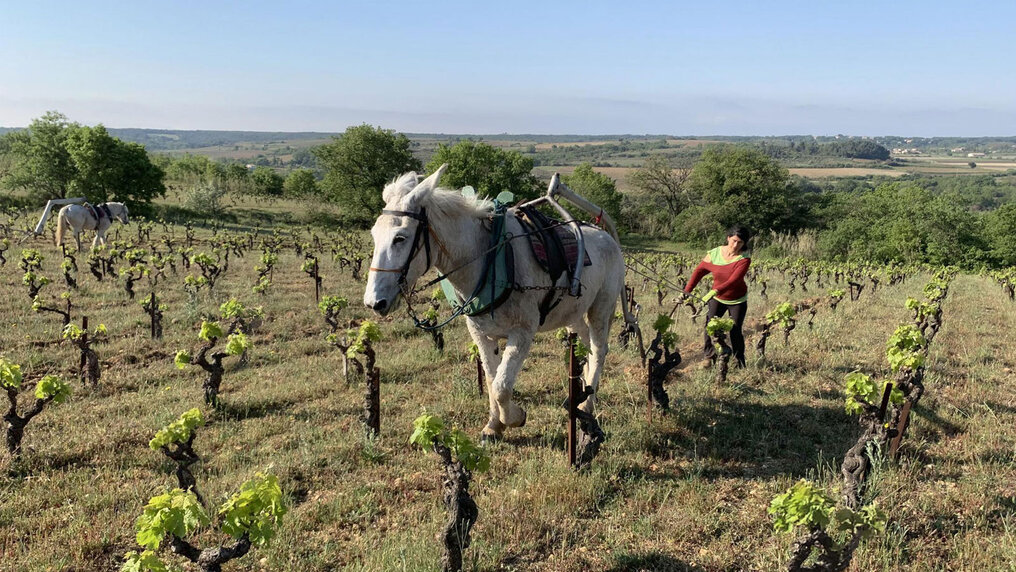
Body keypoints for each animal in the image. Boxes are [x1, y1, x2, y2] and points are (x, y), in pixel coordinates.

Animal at [361, 167, 621, 440]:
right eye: (374, 235)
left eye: (400, 238)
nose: (373, 302)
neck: (487, 258)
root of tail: (606, 237)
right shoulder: (481, 334)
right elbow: (490, 378)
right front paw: (494, 425)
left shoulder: (522, 333)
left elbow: (501, 386)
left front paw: (515, 417)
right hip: (573, 314)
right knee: (586, 348)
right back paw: (582, 393)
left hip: (601, 308)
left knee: (599, 350)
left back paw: (587, 405)